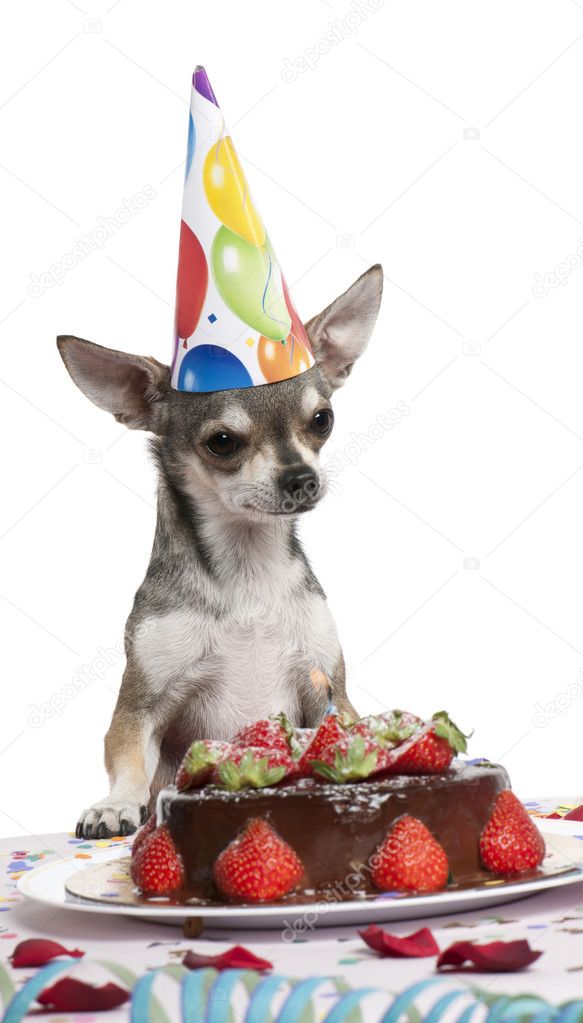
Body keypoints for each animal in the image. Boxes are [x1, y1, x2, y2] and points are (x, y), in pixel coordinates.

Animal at [57, 263, 380, 838]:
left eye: (322, 420)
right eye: (222, 442)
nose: (302, 478)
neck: (248, 569)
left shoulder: (327, 689)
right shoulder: (140, 704)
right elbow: (129, 757)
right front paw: (116, 803)